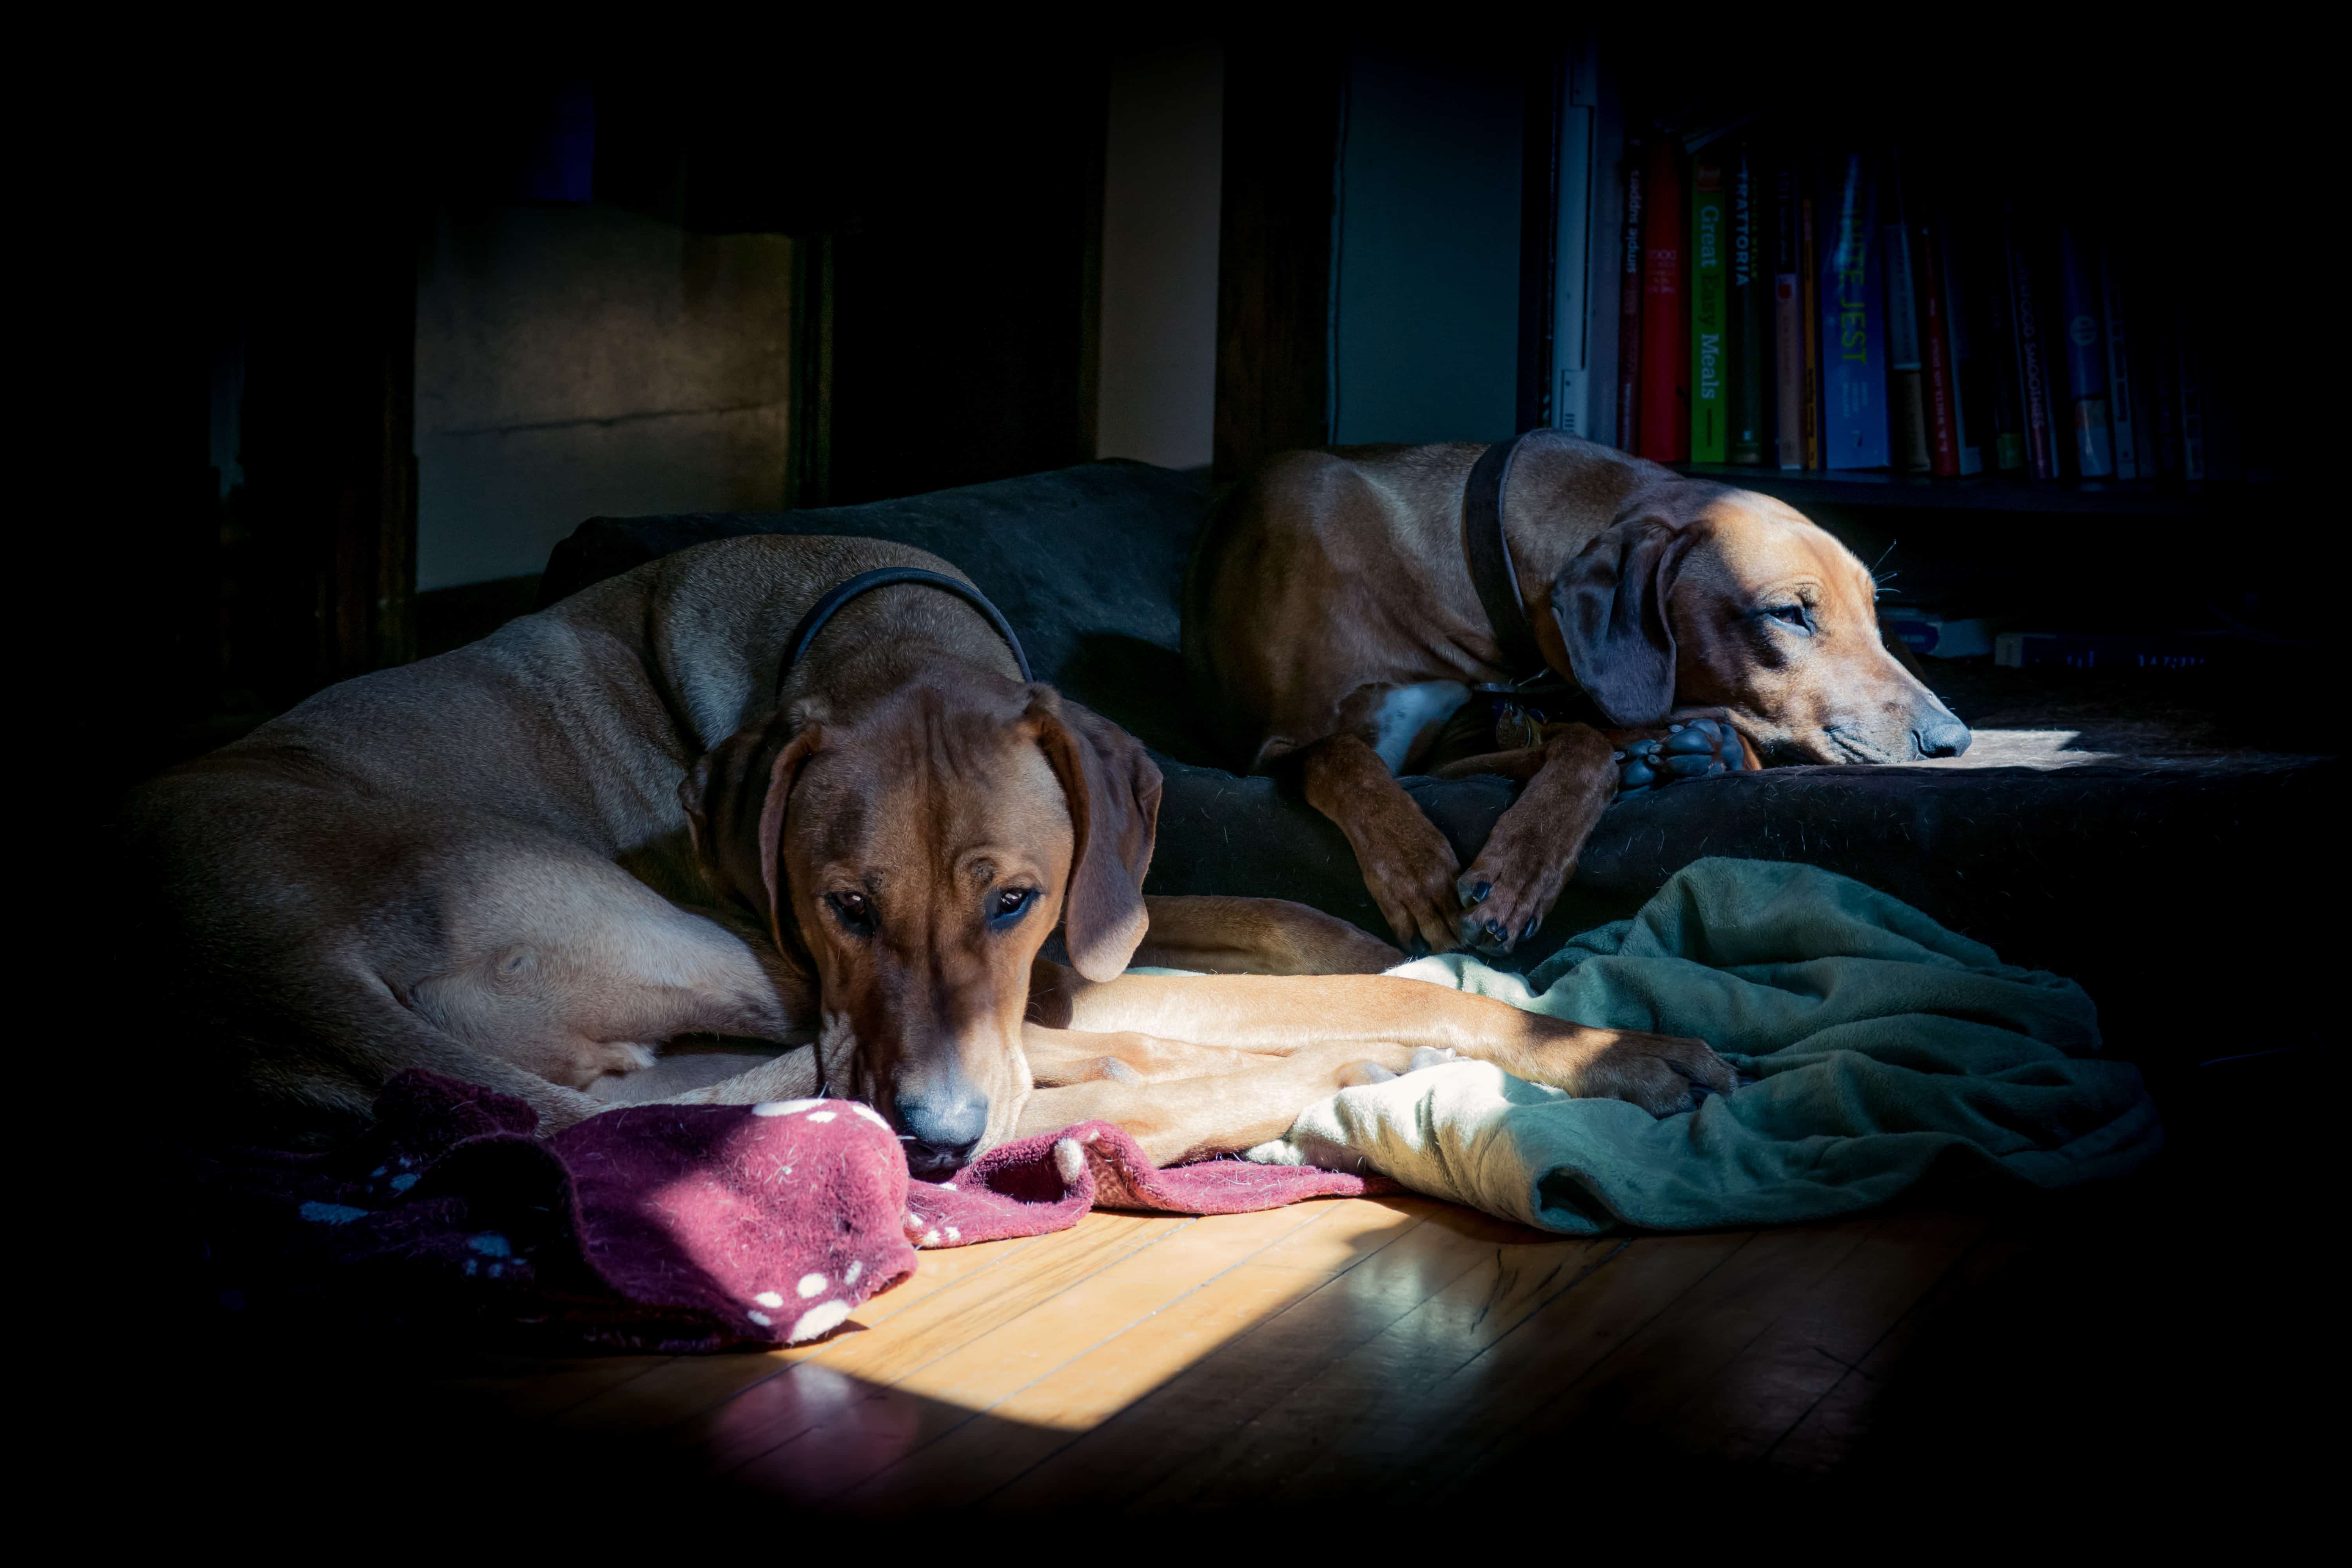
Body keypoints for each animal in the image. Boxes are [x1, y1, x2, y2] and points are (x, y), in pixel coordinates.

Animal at [138, 536, 1740, 1175]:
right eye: (843, 903)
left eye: (1014, 896)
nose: (934, 1138)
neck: (867, 610)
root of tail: (250, 952)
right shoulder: (1017, 986)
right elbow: (1338, 983)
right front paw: (1604, 1047)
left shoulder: (1089, 920)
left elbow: (1297, 917)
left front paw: (1445, 931)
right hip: (706, 948)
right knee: (1092, 1070)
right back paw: (1307, 1076)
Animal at [1185, 435, 1976, 964]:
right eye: (1789, 614)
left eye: (1874, 611)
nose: (1953, 740)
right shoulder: (1275, 750)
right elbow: (1344, 757)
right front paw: (1416, 869)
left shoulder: (1456, 752)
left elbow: (1582, 745)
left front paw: (1523, 869)